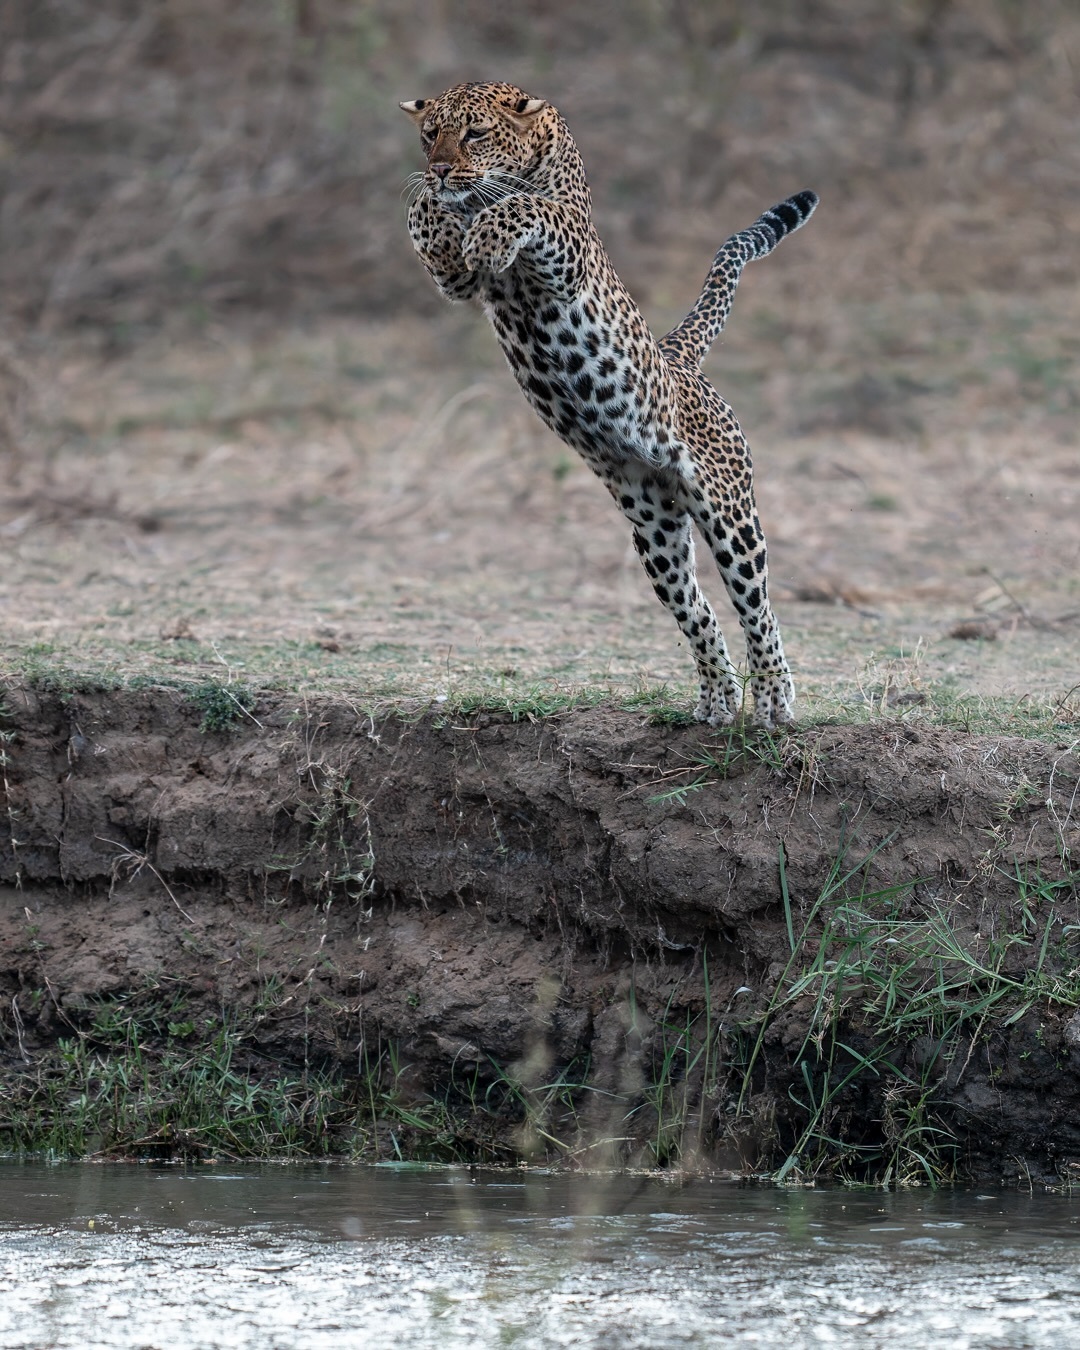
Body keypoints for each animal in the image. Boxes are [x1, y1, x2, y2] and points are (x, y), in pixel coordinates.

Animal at [400, 80, 817, 728]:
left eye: (475, 134)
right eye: (429, 136)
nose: (441, 167)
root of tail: (678, 359)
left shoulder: (567, 249)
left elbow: (529, 208)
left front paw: (486, 221)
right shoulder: (458, 282)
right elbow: (429, 223)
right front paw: (432, 202)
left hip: (729, 512)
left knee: (758, 607)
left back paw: (773, 696)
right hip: (653, 527)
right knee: (696, 610)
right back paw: (718, 697)